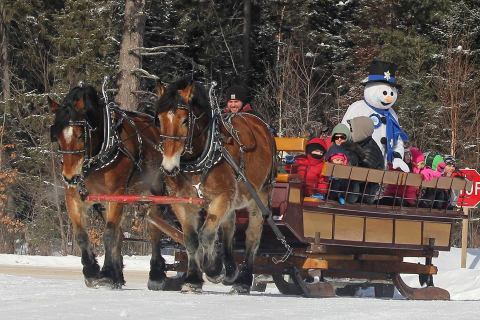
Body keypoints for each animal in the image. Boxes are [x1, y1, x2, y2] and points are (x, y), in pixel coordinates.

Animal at [49, 84, 169, 288]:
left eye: (81, 135)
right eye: (57, 137)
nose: (70, 177)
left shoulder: (116, 194)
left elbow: (108, 234)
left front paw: (104, 273)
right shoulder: (74, 196)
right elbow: (82, 234)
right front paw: (91, 271)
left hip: (153, 191)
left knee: (154, 232)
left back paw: (156, 274)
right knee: (120, 233)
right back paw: (117, 275)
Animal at [154, 79, 274, 292]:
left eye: (185, 121)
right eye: (159, 120)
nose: (169, 167)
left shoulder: (222, 196)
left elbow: (207, 234)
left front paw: (213, 269)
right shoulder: (181, 201)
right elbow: (191, 239)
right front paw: (193, 279)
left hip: (259, 195)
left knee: (252, 236)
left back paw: (243, 280)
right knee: (229, 226)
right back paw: (231, 268)